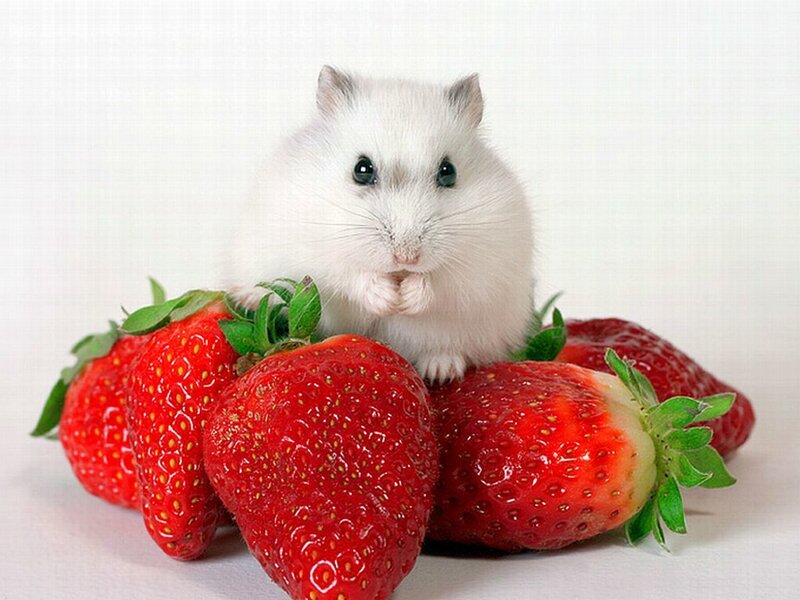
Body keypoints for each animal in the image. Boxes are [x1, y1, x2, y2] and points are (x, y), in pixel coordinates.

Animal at [229, 66, 534, 382]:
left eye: (448, 172)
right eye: (361, 169)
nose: (407, 257)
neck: (398, 273)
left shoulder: (486, 265)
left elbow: (441, 282)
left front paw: (406, 299)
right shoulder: (314, 253)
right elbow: (348, 275)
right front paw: (388, 299)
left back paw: (440, 371)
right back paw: (246, 298)